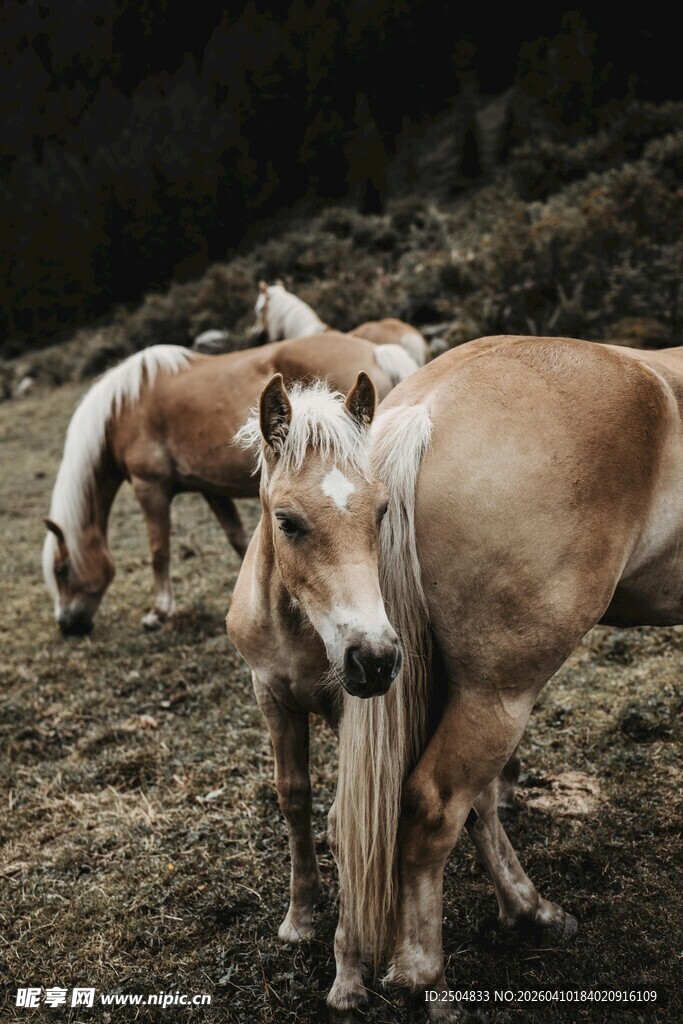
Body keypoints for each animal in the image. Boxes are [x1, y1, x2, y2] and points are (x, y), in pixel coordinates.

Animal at [42, 332, 417, 637]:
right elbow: (237, 538)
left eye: (62, 570)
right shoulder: (211, 489)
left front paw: (158, 613)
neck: (123, 408)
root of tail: (377, 349)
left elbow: (159, 550)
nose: (66, 624)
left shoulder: (150, 486)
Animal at [227, 336, 683, 1019]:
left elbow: (338, 817)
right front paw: (307, 927)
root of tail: (427, 405)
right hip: (498, 691)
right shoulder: (274, 694)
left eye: (381, 513)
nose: (374, 657)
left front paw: (340, 961)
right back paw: (436, 969)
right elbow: (302, 799)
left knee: (448, 803)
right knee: (437, 803)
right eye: (286, 520)